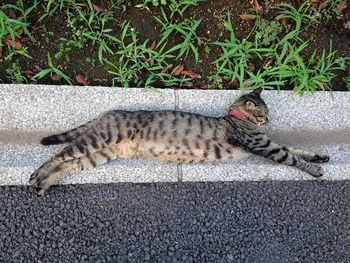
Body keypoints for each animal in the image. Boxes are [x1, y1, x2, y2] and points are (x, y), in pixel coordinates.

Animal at [29, 89, 328, 196]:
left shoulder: (267, 143)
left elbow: (295, 149)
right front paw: (314, 169)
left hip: (101, 154)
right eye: (263, 113)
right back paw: (37, 176)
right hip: (100, 139)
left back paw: (44, 184)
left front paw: (318, 156)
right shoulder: (262, 145)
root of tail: (108, 112)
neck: (236, 118)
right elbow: (290, 156)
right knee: (59, 156)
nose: (269, 119)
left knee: (68, 165)